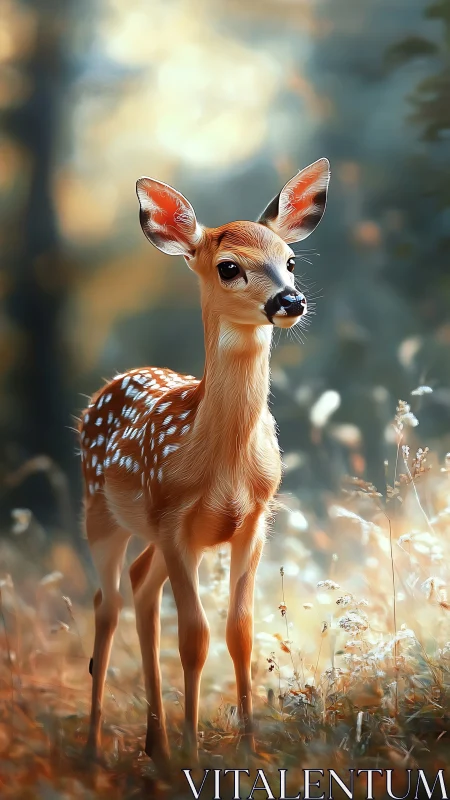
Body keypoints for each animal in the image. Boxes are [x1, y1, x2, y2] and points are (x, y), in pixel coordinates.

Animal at [79, 158, 330, 773]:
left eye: (290, 260)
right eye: (228, 267)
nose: (291, 300)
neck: (222, 466)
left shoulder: (255, 519)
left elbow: (239, 632)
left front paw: (249, 747)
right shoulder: (174, 519)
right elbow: (193, 639)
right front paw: (195, 753)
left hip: (150, 533)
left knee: (140, 585)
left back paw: (156, 743)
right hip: (101, 511)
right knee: (108, 602)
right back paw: (97, 749)